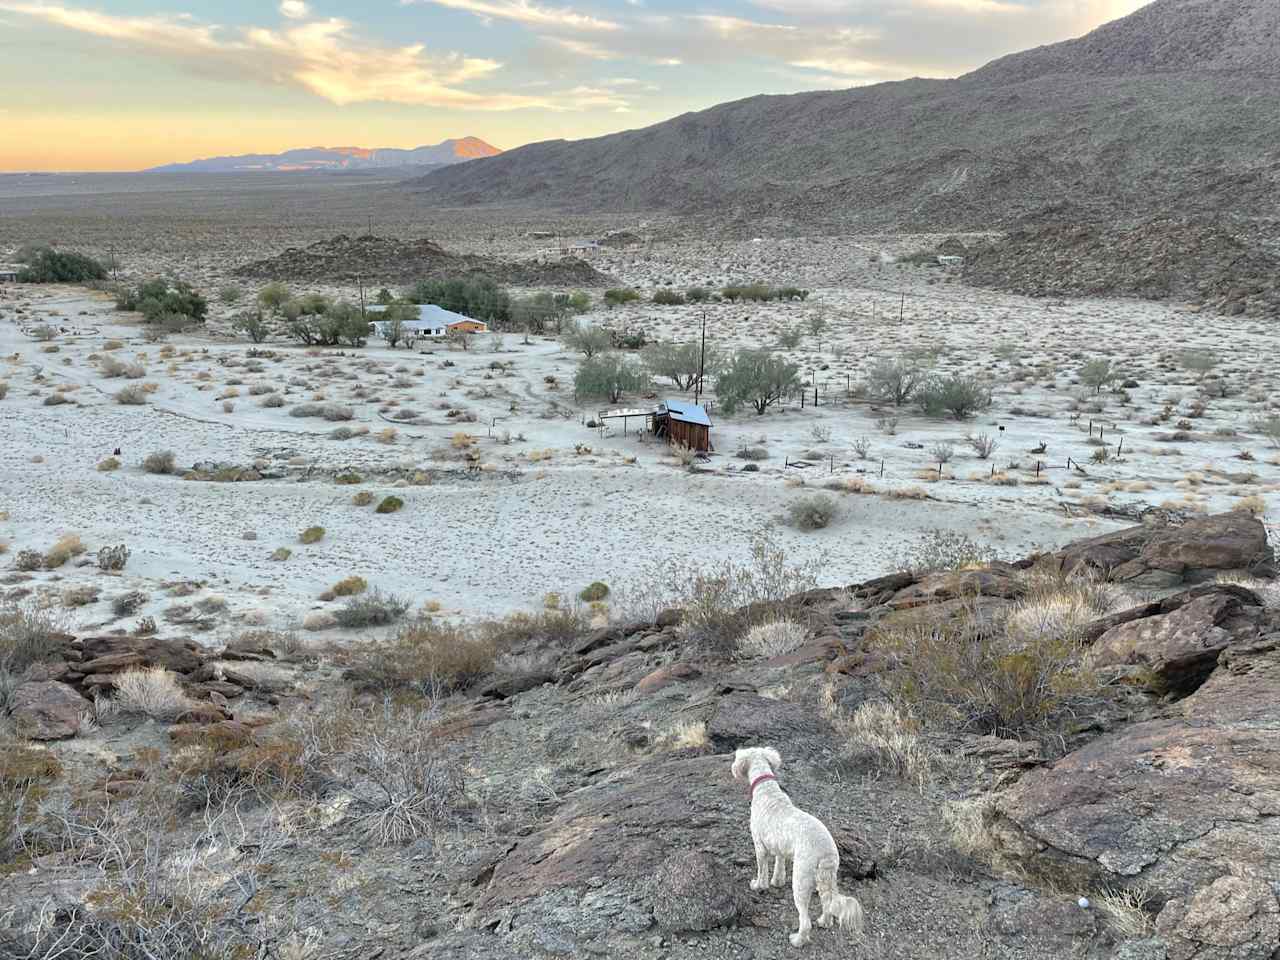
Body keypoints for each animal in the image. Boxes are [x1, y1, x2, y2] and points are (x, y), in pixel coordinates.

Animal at [737, 742, 865, 947]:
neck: (767, 789)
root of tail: (826, 851)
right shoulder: (780, 848)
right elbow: (779, 866)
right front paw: (777, 881)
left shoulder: (760, 846)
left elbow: (761, 869)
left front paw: (758, 885)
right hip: (825, 877)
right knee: (827, 904)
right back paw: (824, 922)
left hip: (802, 879)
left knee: (805, 919)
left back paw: (798, 940)